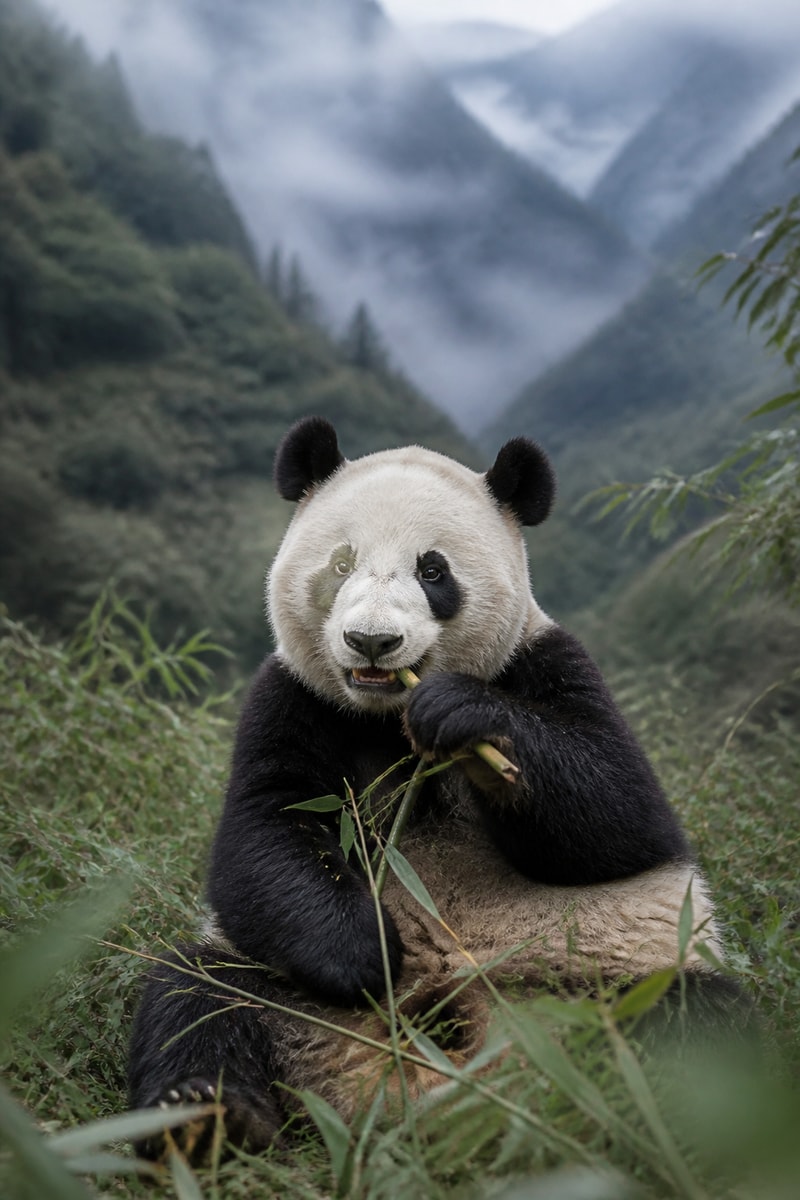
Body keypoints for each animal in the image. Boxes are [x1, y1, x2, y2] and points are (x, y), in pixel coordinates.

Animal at [128, 415, 743, 1163]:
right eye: (342, 564)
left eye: (432, 570)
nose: (371, 641)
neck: (388, 715)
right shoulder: (292, 696)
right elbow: (264, 834)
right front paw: (368, 953)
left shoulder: (541, 659)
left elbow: (619, 816)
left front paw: (462, 715)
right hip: (286, 996)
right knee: (196, 994)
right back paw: (207, 1119)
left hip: (601, 982)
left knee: (703, 1032)